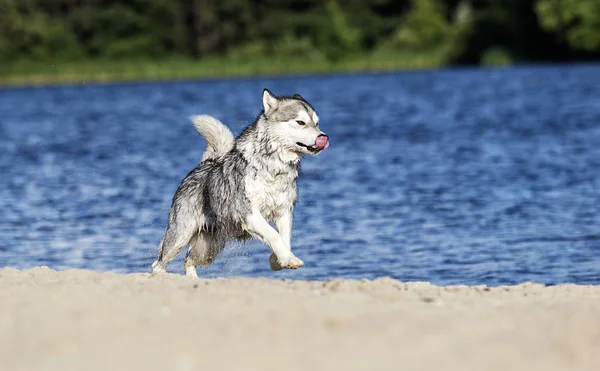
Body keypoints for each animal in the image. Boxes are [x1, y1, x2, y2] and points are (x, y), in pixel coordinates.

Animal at [150, 89, 328, 276]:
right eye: (300, 122)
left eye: (317, 123)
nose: (323, 137)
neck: (273, 167)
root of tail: (205, 163)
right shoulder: (249, 212)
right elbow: (273, 235)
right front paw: (288, 259)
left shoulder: (284, 210)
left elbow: (284, 238)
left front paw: (279, 260)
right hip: (180, 236)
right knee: (158, 264)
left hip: (208, 248)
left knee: (188, 259)